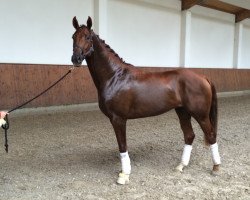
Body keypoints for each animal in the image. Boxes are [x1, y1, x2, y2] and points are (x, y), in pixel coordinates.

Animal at [70, 16, 221, 184]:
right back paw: (181, 166)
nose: (76, 58)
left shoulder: (118, 119)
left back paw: (216, 168)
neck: (114, 76)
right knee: (189, 135)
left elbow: (122, 145)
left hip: (200, 115)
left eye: (88, 37)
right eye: (73, 37)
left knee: (211, 135)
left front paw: (124, 175)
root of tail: (203, 77)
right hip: (183, 112)